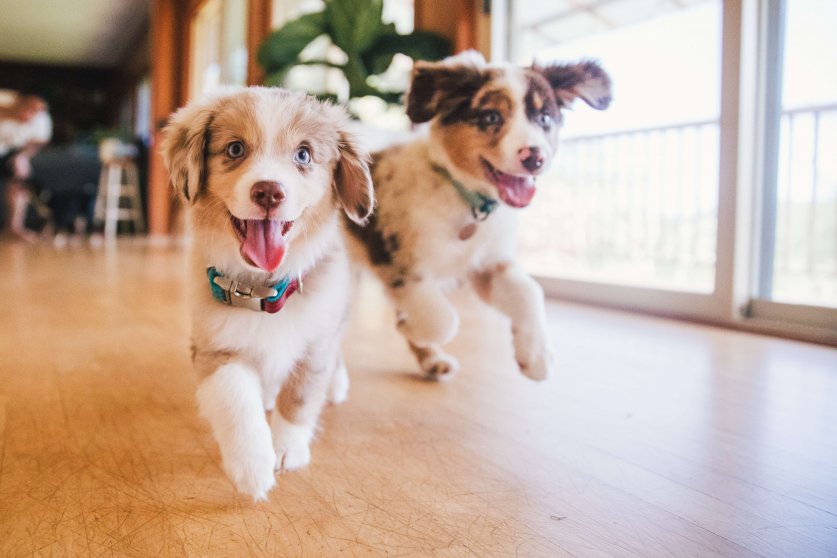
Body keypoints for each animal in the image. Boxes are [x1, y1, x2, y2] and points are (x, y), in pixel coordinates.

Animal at [162, 88, 370, 504]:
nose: (269, 191)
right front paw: (252, 467)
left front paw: (287, 449)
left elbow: (300, 397)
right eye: (235, 149)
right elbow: (236, 400)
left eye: (304, 154)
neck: (264, 289)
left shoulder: (317, 341)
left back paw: (336, 386)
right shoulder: (214, 348)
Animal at [342, 52, 612, 382]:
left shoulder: (487, 265)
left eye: (545, 118)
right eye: (491, 117)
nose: (535, 158)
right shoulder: (398, 264)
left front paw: (535, 355)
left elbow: (529, 290)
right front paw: (411, 327)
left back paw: (432, 361)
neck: (466, 198)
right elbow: (444, 319)